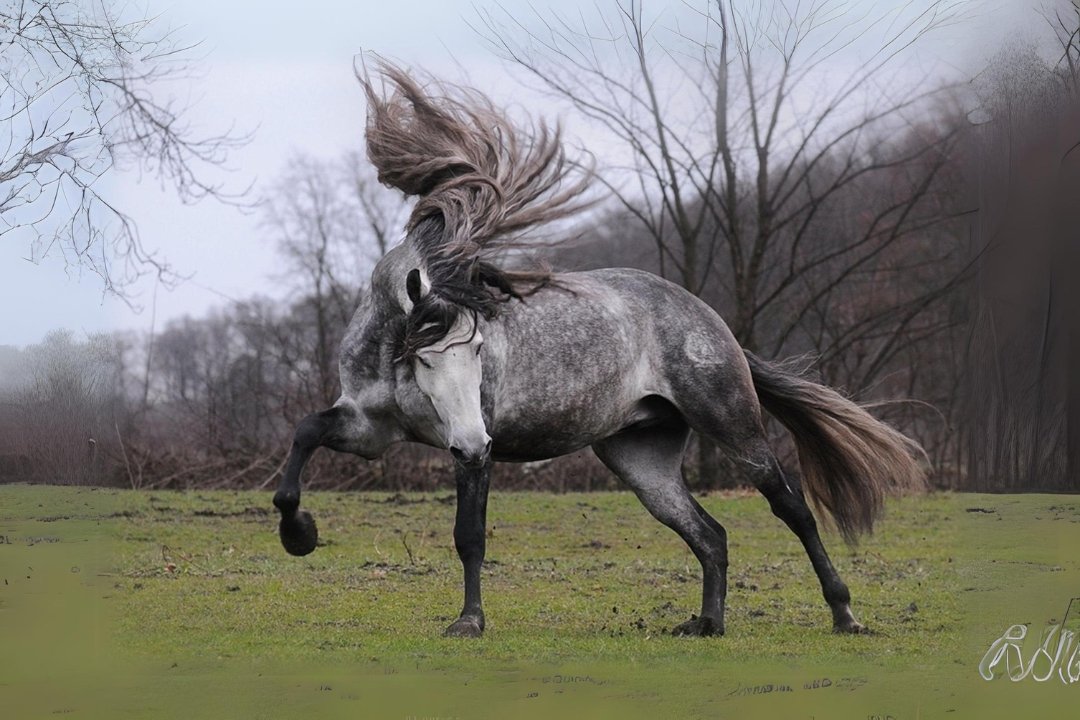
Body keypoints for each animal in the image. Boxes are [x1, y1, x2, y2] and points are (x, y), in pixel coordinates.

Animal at [270, 60, 920, 634]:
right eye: (424, 357)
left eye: (479, 352)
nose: (473, 440)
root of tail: (709, 320)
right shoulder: (369, 431)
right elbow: (304, 433)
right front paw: (299, 534)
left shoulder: (471, 454)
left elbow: (469, 536)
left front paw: (469, 622)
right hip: (640, 459)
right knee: (709, 534)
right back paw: (707, 624)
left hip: (734, 427)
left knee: (793, 508)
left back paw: (843, 614)